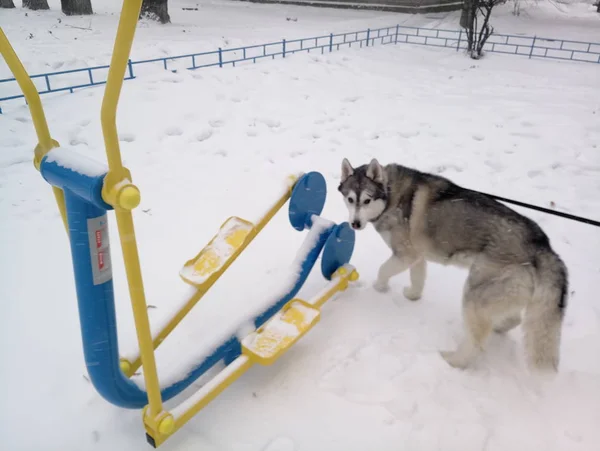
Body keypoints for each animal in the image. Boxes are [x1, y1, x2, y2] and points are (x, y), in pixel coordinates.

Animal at [340, 159, 568, 374]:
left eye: (367, 200)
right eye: (350, 200)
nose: (355, 224)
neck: (390, 194)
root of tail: (543, 246)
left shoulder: (406, 254)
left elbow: (383, 270)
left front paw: (380, 287)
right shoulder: (417, 255)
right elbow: (418, 278)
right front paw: (413, 295)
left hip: (475, 294)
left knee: (477, 343)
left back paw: (454, 361)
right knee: (512, 319)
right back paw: (498, 326)